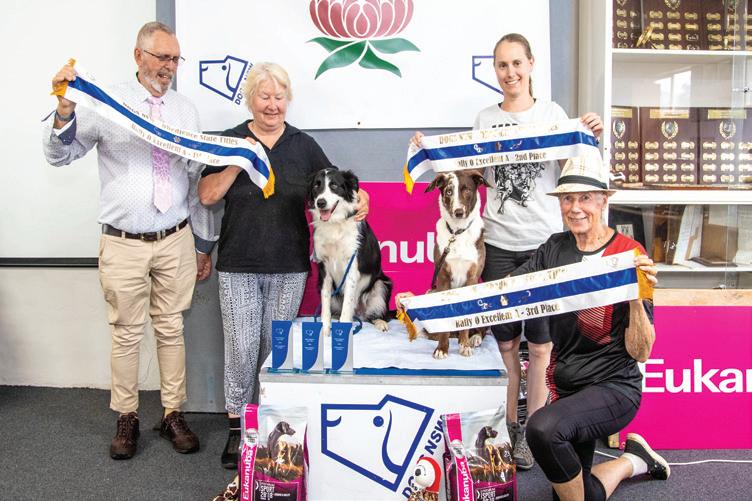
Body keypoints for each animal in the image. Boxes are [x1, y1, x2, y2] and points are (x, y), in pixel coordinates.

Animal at [308, 168, 393, 336]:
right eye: (316, 186)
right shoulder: (324, 268)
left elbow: (347, 306)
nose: (320, 202)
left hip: (381, 285)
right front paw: (325, 329)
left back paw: (380, 322)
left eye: (334, 185)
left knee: (375, 315)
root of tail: (359, 313)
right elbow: (325, 304)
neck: (335, 223)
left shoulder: (352, 267)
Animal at [424, 170, 490, 358]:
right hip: (431, 291)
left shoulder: (472, 278)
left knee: (481, 329)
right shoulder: (443, 278)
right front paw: (442, 348)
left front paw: (464, 345)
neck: (457, 233)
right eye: (448, 191)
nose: (458, 212)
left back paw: (474, 339)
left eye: (467, 190)